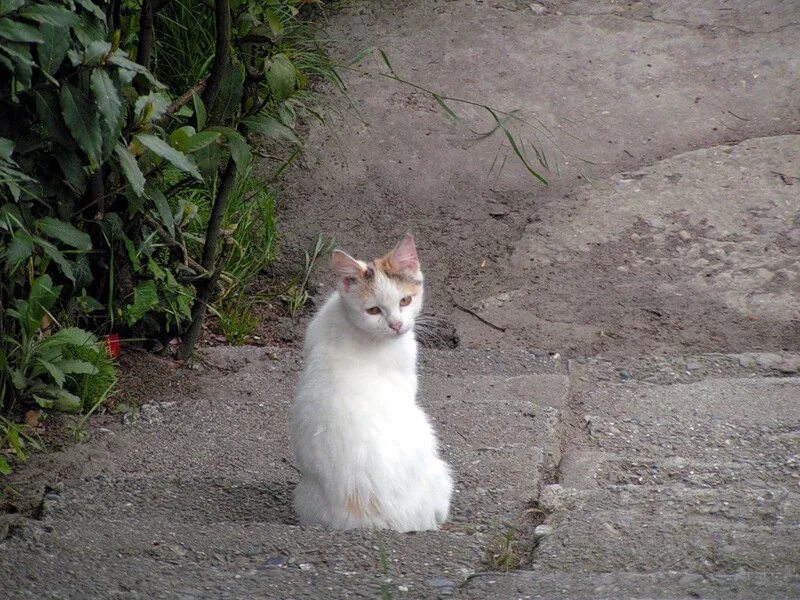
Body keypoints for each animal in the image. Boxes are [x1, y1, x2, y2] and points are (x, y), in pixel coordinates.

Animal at [290, 232, 454, 532]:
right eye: (374, 310)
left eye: (405, 301)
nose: (397, 325)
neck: (349, 321)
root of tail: (374, 516)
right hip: (441, 472)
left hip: (303, 497)